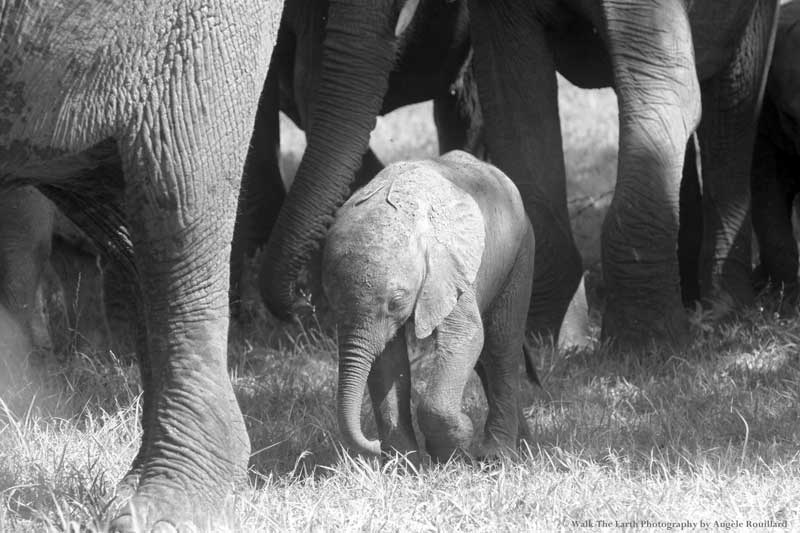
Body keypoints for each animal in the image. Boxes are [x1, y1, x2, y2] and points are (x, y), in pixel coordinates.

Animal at [322, 151, 537, 462]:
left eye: (397, 301)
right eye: (330, 298)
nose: (373, 444)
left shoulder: (449, 267)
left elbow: (466, 336)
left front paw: (455, 448)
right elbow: (387, 359)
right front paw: (405, 465)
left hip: (521, 253)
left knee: (501, 345)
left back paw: (497, 457)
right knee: (486, 358)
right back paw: (525, 444)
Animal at [460, 0, 780, 348]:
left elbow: (667, 87)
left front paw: (646, 346)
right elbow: (511, 102)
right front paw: (548, 343)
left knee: (734, 97)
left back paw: (724, 311)